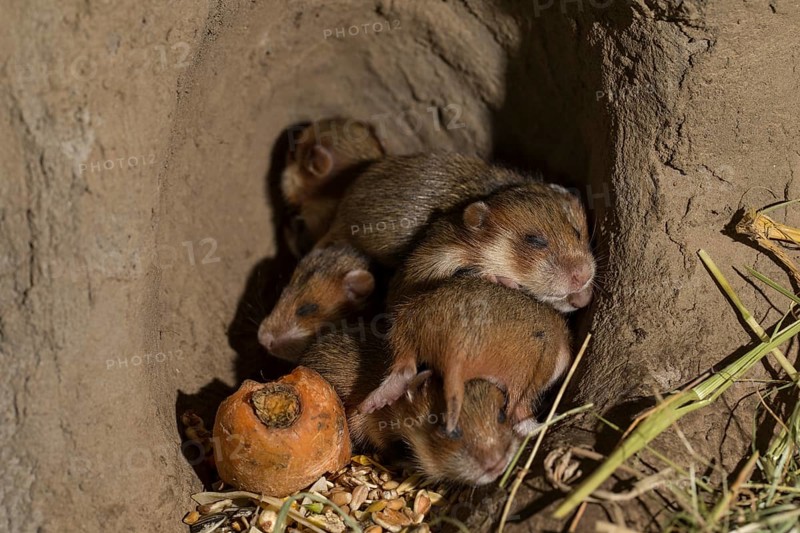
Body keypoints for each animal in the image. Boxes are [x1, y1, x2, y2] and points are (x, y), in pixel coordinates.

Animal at [359, 277, 572, 437]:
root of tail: (456, 348)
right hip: (528, 368)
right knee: (519, 415)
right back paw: (548, 421)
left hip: (405, 320)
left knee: (404, 370)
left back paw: (375, 400)